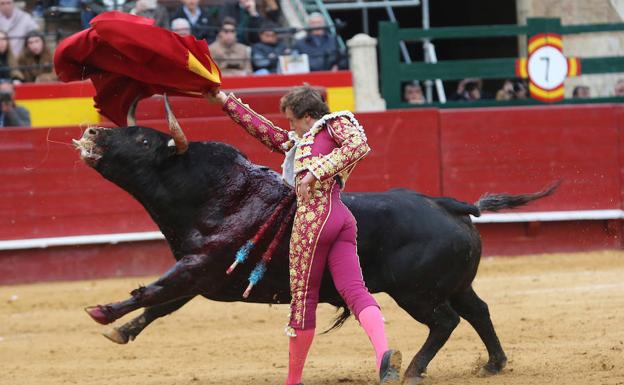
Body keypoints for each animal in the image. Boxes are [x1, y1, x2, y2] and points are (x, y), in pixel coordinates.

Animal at [74, 118, 556, 382]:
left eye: (141, 141)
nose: (94, 131)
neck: (216, 194)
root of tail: (448, 203)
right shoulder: (202, 275)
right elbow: (161, 304)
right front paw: (122, 330)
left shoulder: (199, 266)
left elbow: (153, 291)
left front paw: (103, 312)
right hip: (453, 284)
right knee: (478, 310)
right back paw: (493, 363)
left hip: (417, 293)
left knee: (446, 321)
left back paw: (412, 370)